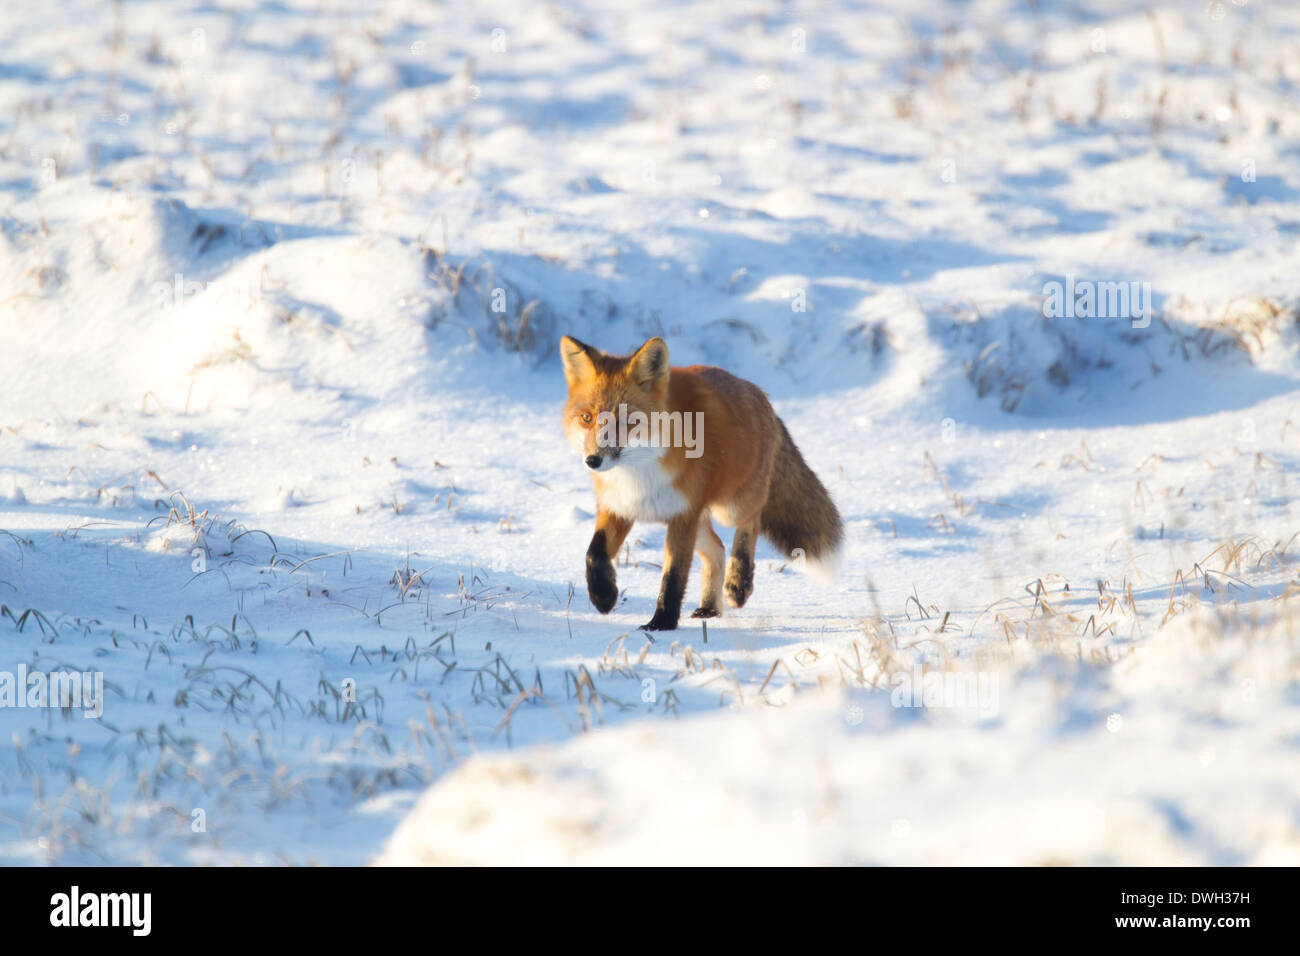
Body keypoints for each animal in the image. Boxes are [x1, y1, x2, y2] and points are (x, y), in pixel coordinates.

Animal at [561, 335, 842, 631]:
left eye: (627, 422)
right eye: (587, 418)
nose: (593, 460)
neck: (638, 473)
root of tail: (757, 391)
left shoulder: (683, 515)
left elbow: (673, 576)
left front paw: (661, 623)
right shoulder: (619, 507)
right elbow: (594, 553)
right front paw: (603, 595)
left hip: (729, 507)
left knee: (751, 522)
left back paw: (738, 582)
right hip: (696, 519)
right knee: (717, 549)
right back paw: (710, 607)